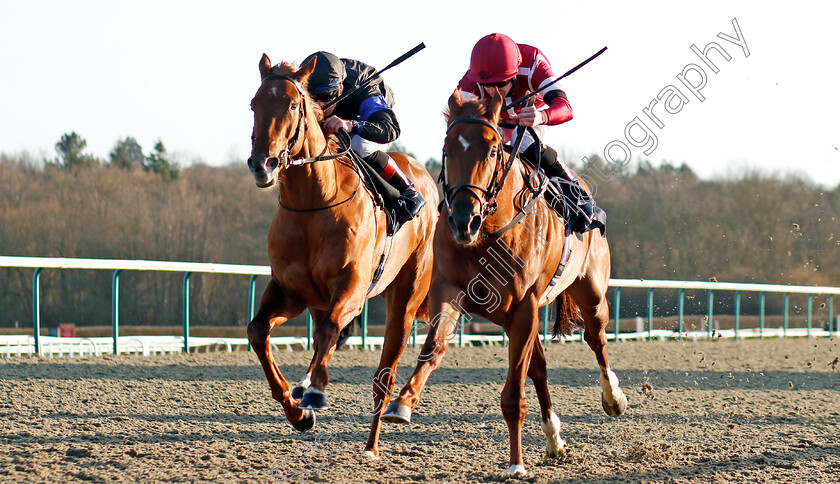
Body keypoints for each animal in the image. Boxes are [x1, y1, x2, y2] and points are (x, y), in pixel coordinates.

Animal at [244, 54, 436, 456]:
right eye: (254, 104)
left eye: (292, 105)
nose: (263, 164)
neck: (313, 204)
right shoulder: (291, 291)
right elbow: (258, 331)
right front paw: (297, 410)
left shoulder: (352, 287)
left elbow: (331, 330)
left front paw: (315, 394)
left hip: (406, 298)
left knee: (383, 376)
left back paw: (373, 443)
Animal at [380, 89, 624, 474]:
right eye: (448, 146)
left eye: (494, 149)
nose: (464, 219)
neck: (489, 234)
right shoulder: (449, 291)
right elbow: (434, 348)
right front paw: (402, 402)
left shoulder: (524, 307)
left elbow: (513, 395)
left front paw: (516, 464)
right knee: (539, 367)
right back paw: (554, 439)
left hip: (591, 292)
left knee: (595, 338)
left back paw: (613, 397)